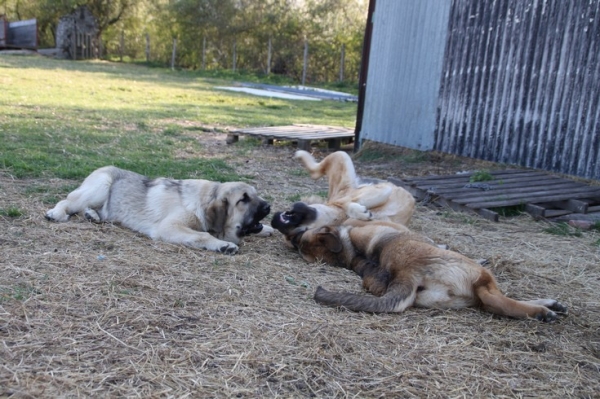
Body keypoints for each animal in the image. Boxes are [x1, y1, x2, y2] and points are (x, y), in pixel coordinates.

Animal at [45, 166, 274, 255]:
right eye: (243, 199)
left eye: (255, 194)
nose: (269, 206)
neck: (203, 200)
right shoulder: (170, 227)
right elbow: (202, 235)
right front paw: (223, 245)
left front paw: (268, 228)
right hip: (101, 186)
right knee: (67, 201)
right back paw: (56, 213)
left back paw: (91, 215)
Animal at [286, 220, 568, 324]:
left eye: (304, 235)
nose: (292, 236)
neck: (350, 247)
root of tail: (405, 273)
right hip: (477, 274)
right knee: (496, 300)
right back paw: (543, 311)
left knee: (493, 303)